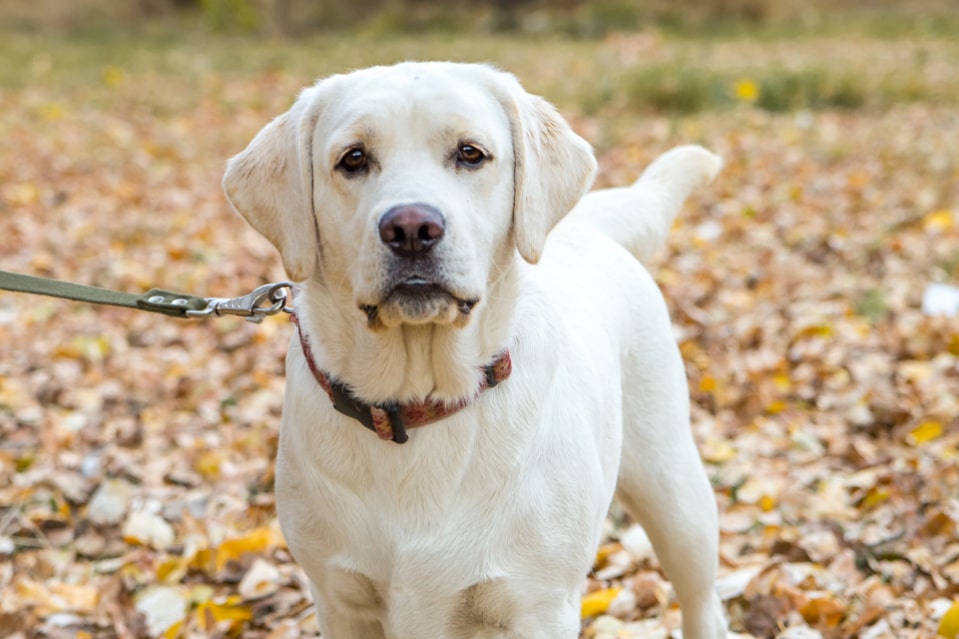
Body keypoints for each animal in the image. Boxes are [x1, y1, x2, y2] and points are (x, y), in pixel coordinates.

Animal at [221, 61, 724, 639]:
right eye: (353, 158)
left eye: (470, 153)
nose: (411, 228)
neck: (418, 404)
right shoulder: (338, 599)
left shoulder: (537, 605)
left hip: (676, 492)